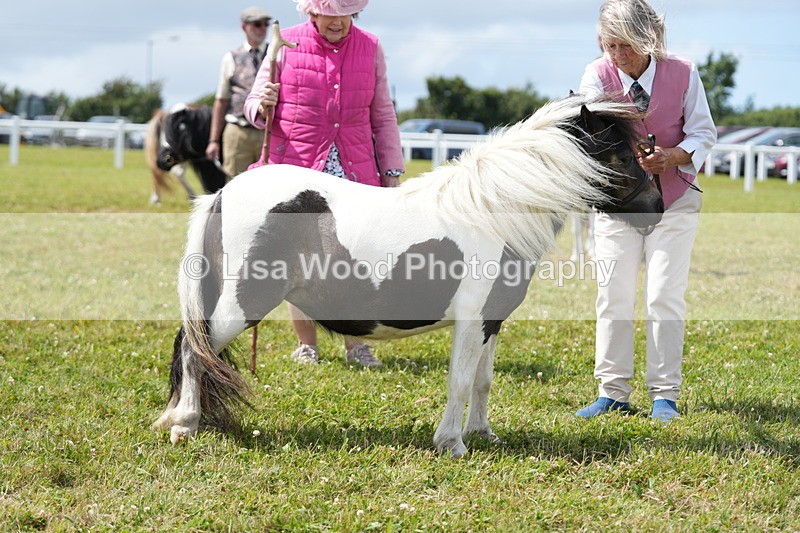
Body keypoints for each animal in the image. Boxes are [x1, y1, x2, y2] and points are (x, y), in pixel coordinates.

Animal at [153, 95, 664, 457]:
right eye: (621, 156)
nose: (657, 208)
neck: (492, 211)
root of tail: (222, 194)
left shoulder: (492, 322)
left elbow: (482, 381)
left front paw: (484, 434)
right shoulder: (472, 321)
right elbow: (460, 381)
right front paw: (452, 444)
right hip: (243, 305)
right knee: (195, 348)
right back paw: (184, 426)